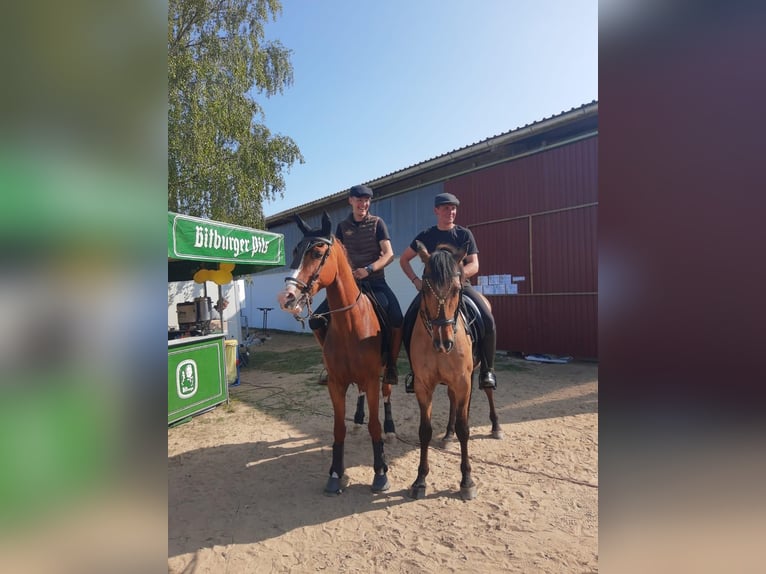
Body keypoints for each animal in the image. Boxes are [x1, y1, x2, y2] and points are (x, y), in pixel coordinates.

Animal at [278, 212, 396, 496]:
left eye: (318, 252)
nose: (286, 298)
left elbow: (375, 426)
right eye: (295, 251)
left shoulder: (373, 379)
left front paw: (380, 473)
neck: (350, 325)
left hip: (386, 370)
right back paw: (358, 419)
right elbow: (338, 428)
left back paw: (390, 429)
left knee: (387, 393)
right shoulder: (336, 383)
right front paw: (334, 474)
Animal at [404, 241, 484, 502]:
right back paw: (448, 435)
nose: (443, 342)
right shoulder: (423, 386)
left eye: (457, 289)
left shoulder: (463, 382)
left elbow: (464, 429)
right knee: (452, 402)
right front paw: (420, 480)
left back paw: (495, 427)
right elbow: (425, 430)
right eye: (425, 289)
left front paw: (467, 480)